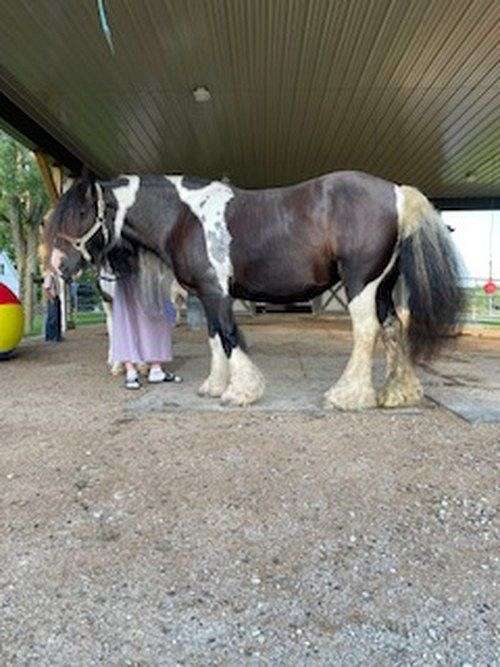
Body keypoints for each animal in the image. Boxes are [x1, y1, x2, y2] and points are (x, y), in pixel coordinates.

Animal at [43, 170, 465, 410]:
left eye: (81, 212)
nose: (56, 269)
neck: (184, 216)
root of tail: (398, 193)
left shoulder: (216, 292)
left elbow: (230, 338)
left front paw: (241, 391)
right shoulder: (205, 295)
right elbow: (215, 337)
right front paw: (215, 386)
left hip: (361, 283)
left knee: (366, 332)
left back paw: (346, 396)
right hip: (381, 287)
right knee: (392, 328)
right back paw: (397, 394)